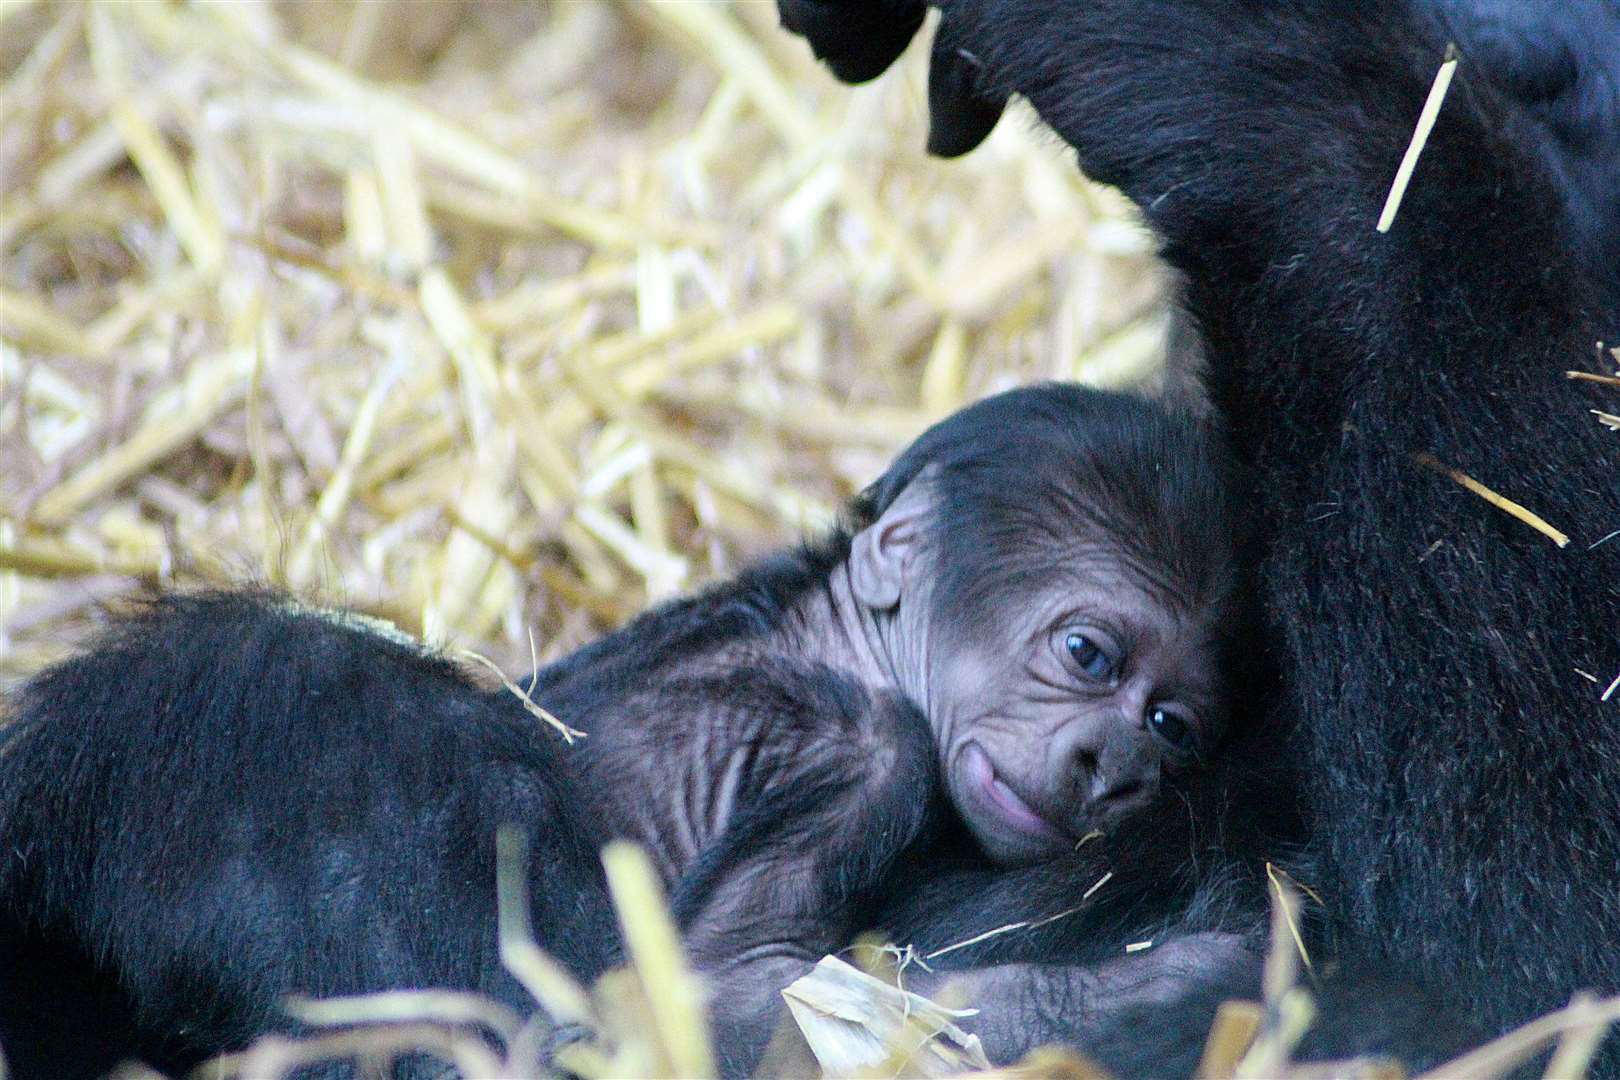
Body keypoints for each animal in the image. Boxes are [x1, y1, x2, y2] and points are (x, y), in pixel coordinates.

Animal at [0, 383, 1237, 1075]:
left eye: (1172, 724)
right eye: (1087, 654)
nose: (1116, 766)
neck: (843, 637)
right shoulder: (868, 757)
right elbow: (687, 1004)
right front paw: (1161, 990)